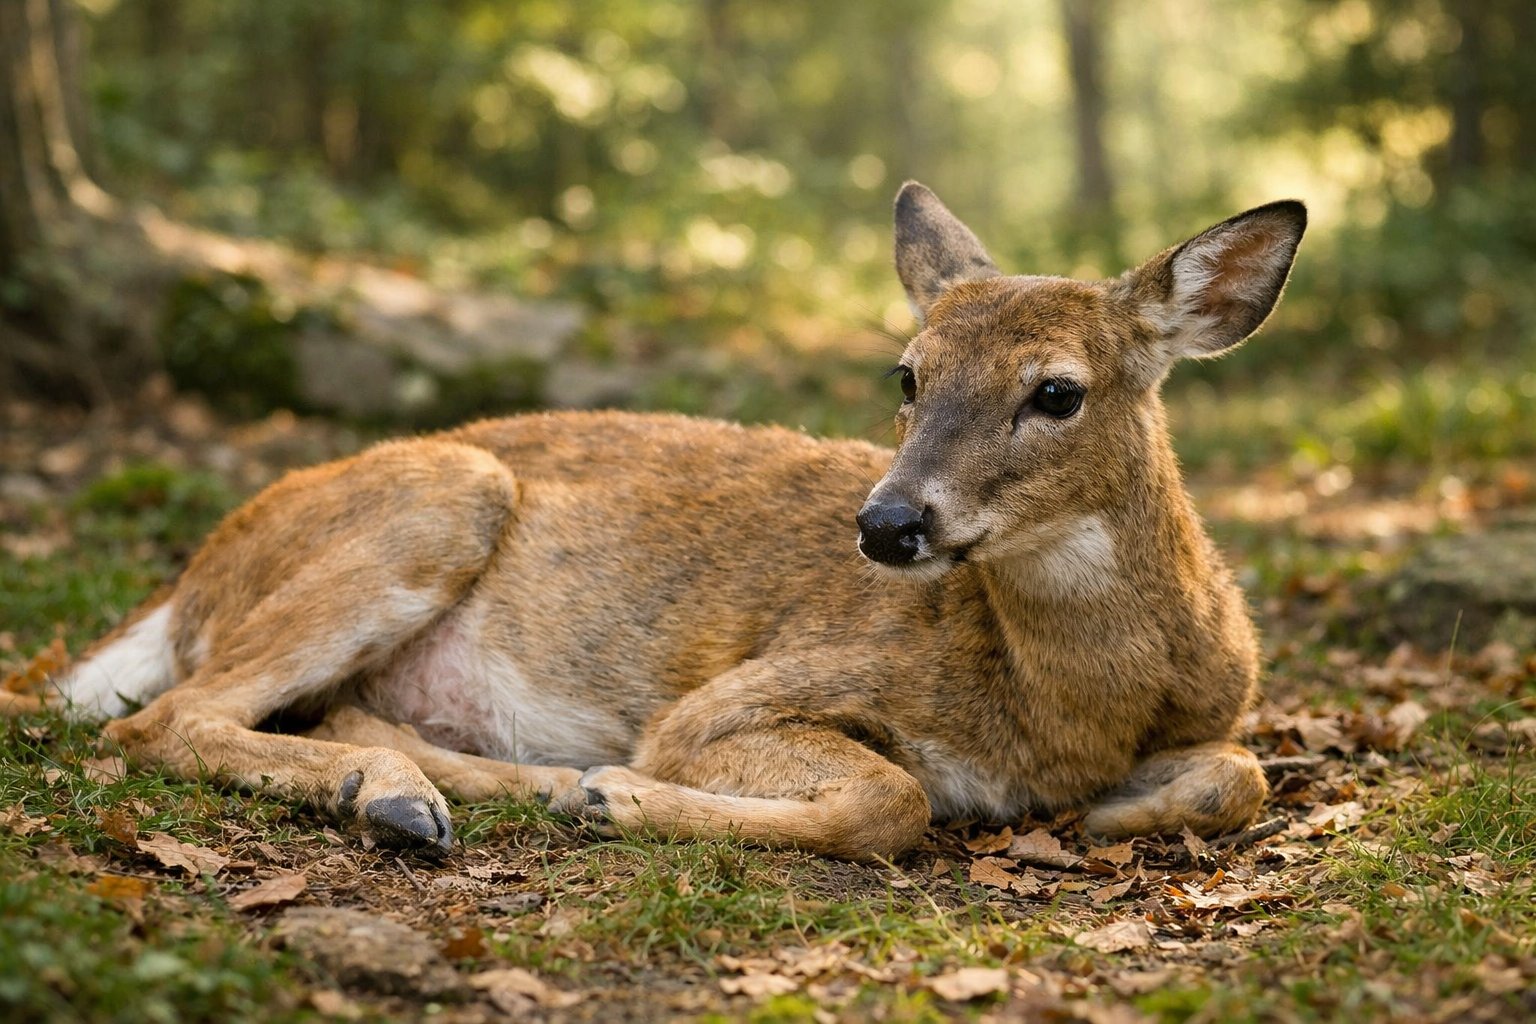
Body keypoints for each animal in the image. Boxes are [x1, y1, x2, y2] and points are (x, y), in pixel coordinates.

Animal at [11, 183, 1305, 860]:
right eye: (908, 373)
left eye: (1058, 391)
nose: (888, 525)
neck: (1067, 705)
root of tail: (190, 581)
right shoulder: (730, 696)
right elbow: (893, 797)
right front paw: (621, 794)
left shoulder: (1219, 713)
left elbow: (1240, 772)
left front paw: (1123, 806)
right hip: (446, 492)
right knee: (166, 718)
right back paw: (435, 792)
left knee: (306, 707)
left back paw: (447, 782)